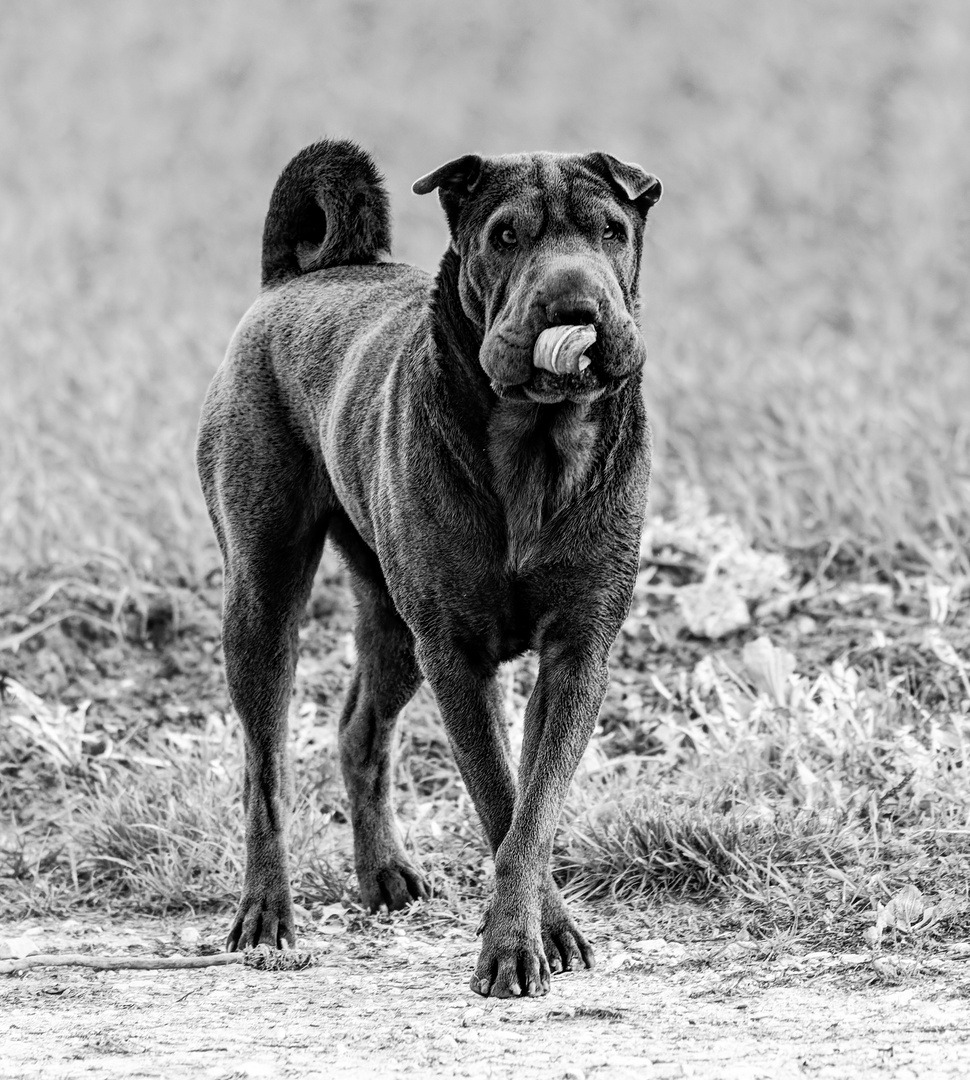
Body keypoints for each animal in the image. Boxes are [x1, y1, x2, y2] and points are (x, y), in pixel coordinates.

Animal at [195, 139, 656, 997]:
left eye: (611, 230)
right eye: (505, 236)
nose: (572, 304)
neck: (535, 443)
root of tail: (294, 279)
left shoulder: (577, 651)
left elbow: (533, 804)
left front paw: (543, 932)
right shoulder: (457, 654)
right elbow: (501, 796)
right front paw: (519, 944)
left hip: (392, 621)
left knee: (359, 732)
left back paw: (384, 874)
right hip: (263, 594)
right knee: (263, 768)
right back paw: (266, 914)